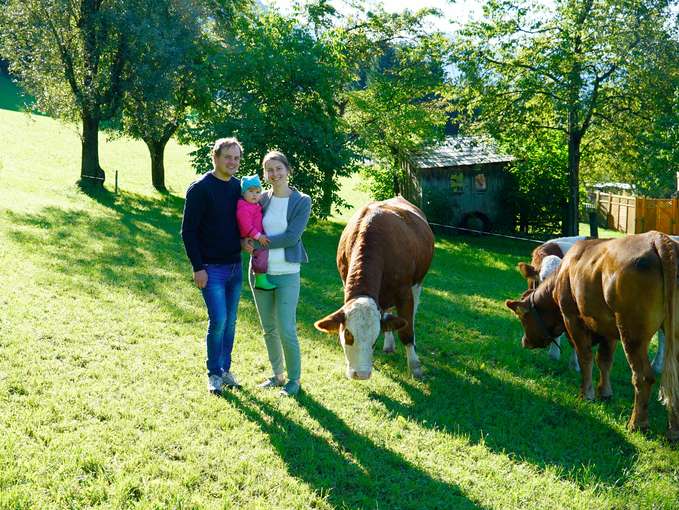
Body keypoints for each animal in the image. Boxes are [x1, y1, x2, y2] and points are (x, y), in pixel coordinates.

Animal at [314, 197, 436, 380]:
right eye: (348, 334)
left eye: (374, 337)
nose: (361, 374)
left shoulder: (404, 292)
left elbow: (406, 331)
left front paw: (415, 367)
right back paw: (389, 344)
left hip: (417, 284)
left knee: (411, 316)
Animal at [504, 232, 679, 442]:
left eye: (523, 318)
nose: (525, 342)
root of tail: (658, 239)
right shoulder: (608, 328)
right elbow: (604, 360)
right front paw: (605, 392)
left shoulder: (572, 318)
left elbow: (585, 356)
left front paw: (586, 393)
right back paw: (673, 430)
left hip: (632, 334)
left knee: (643, 376)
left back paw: (637, 424)